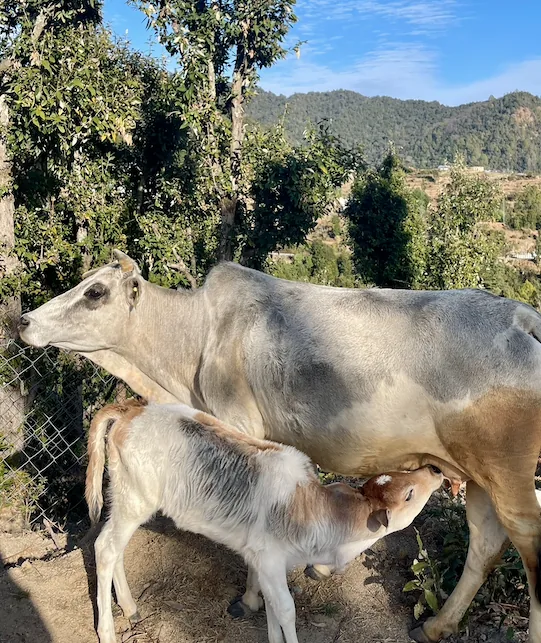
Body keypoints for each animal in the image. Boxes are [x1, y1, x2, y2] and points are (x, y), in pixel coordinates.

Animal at [86, 399, 443, 643]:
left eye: (403, 474)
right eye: (410, 494)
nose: (434, 469)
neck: (316, 510)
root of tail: (131, 409)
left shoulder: (268, 565)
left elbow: (272, 610)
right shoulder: (269, 558)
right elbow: (285, 610)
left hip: (123, 500)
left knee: (114, 550)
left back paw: (130, 607)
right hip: (135, 501)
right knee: (104, 548)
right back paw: (107, 630)